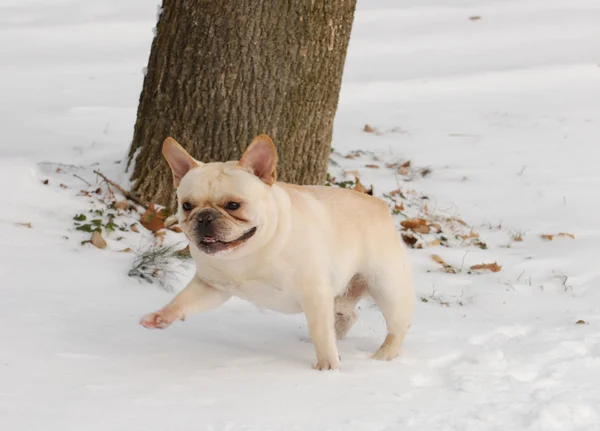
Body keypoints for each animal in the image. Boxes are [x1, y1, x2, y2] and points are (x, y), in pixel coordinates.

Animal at [140, 136, 412, 372]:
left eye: (233, 205)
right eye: (186, 205)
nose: (205, 217)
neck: (247, 253)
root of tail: (380, 205)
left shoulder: (314, 293)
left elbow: (320, 331)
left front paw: (328, 366)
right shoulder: (211, 287)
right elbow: (183, 300)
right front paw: (162, 316)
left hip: (386, 288)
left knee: (397, 327)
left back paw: (383, 355)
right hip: (341, 295)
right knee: (349, 314)